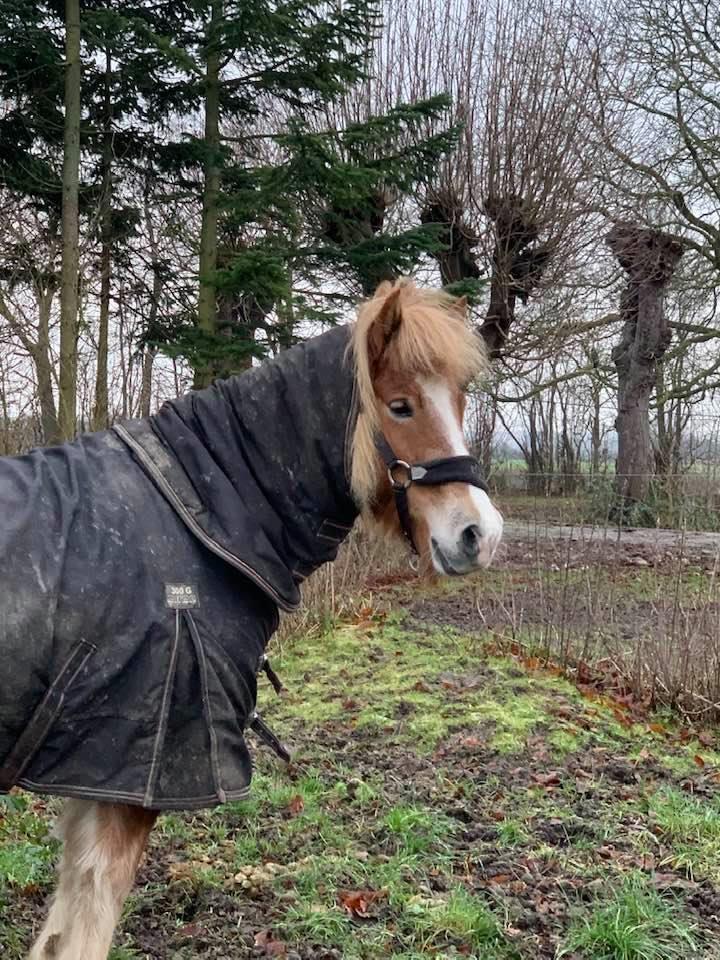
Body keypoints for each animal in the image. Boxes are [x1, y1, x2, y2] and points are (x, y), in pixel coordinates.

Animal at [0, 278, 504, 960]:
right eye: (400, 407)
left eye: (457, 398)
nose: (480, 534)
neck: (201, 513)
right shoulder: (128, 783)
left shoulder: (95, 778)